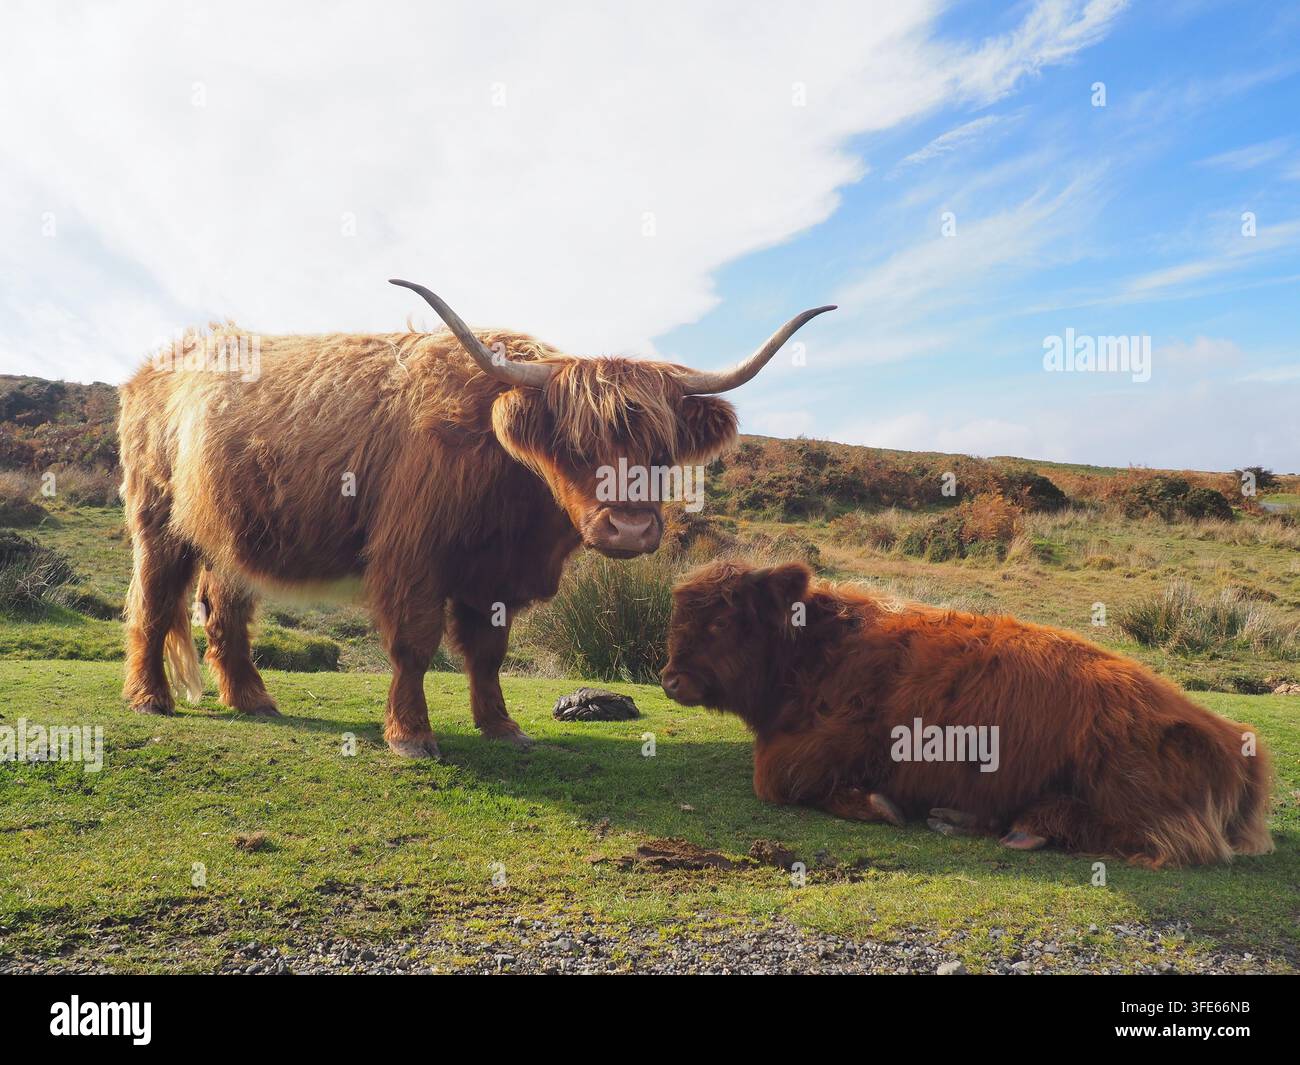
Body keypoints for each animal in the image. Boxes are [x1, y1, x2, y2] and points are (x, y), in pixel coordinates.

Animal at [118, 281, 834, 758]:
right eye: (575, 446)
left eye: (661, 451)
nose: (630, 530)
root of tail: (161, 361)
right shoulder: (412, 556)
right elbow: (414, 645)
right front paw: (411, 736)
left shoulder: (496, 577)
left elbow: (489, 652)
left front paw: (501, 726)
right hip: (157, 518)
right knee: (153, 603)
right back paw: (149, 697)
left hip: (229, 534)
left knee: (224, 612)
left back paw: (253, 698)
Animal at [661, 560, 1274, 867]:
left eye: (722, 621)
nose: (669, 679)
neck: (816, 652)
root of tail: (1237, 739)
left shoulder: (822, 748)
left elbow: (777, 781)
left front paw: (879, 804)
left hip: (1125, 777)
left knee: (1167, 842)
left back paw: (1023, 826)